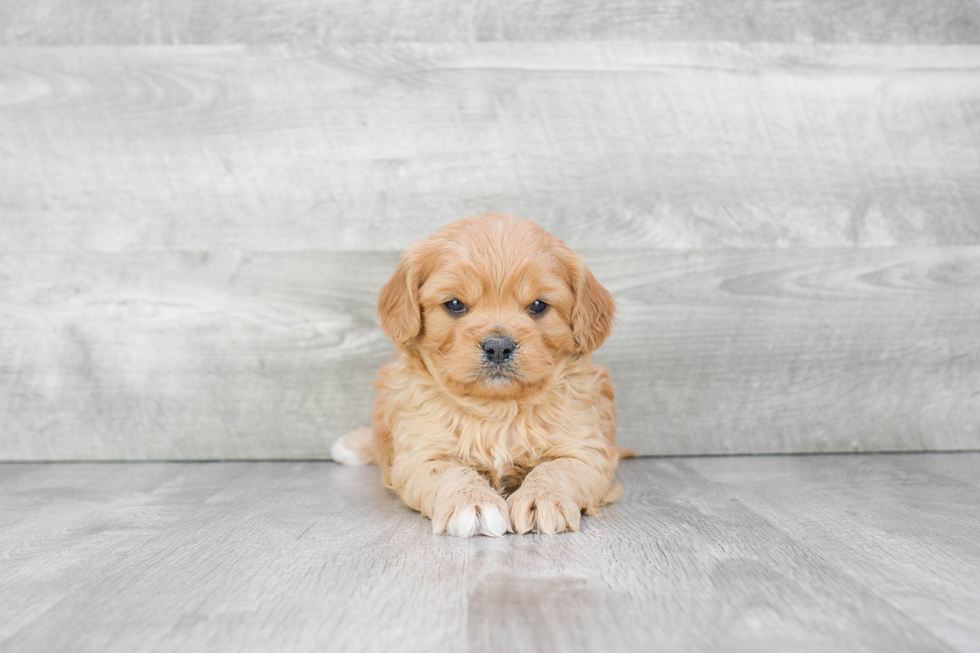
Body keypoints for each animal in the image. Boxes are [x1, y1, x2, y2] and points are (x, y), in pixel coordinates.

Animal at [334, 213, 632, 536]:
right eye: (455, 304)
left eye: (538, 305)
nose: (498, 347)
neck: (497, 409)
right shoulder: (420, 454)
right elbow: (449, 471)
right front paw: (473, 502)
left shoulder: (585, 450)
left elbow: (557, 469)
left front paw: (541, 499)